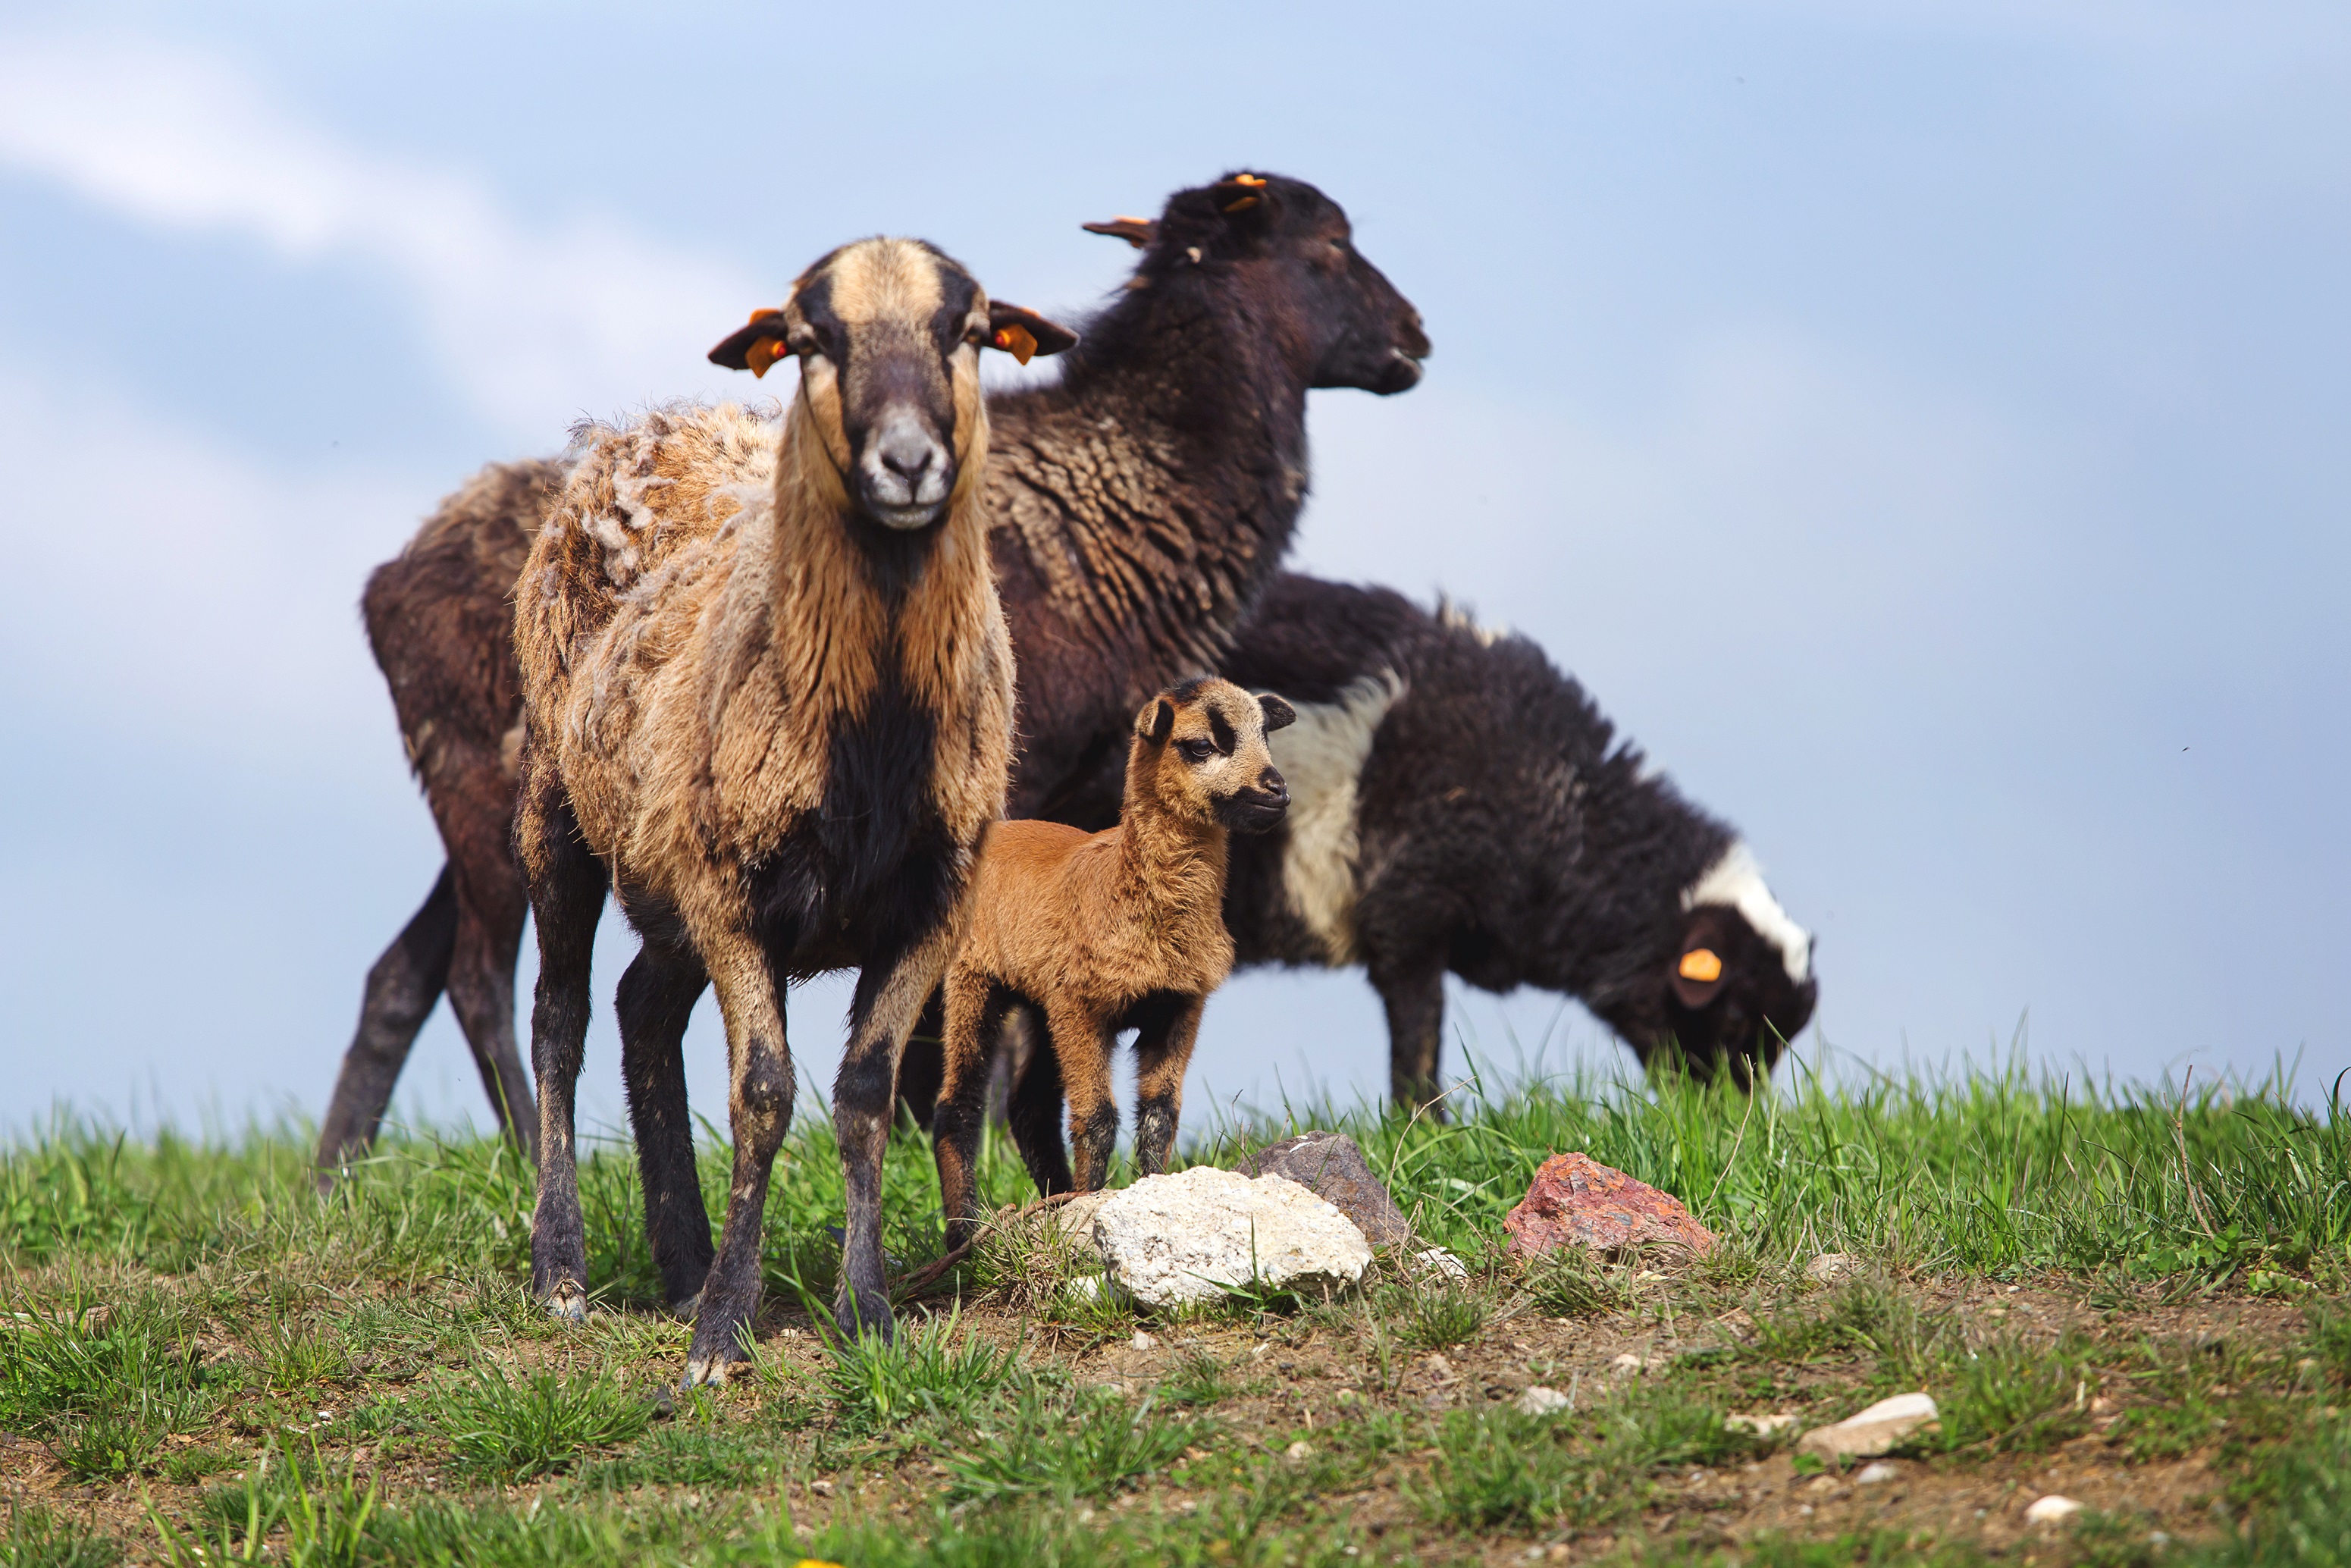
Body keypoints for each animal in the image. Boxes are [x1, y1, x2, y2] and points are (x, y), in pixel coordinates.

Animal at [930, 682, 1297, 1241]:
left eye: (1265, 735)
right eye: (1200, 746)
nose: (1276, 791)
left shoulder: (1177, 1007)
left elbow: (1159, 1116)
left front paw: (1150, 1192)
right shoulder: (1084, 1009)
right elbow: (1097, 1118)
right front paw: (1092, 1206)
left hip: (1044, 1005)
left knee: (1029, 1107)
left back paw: (1055, 1199)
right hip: (975, 980)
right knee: (959, 1104)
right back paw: (965, 1233)